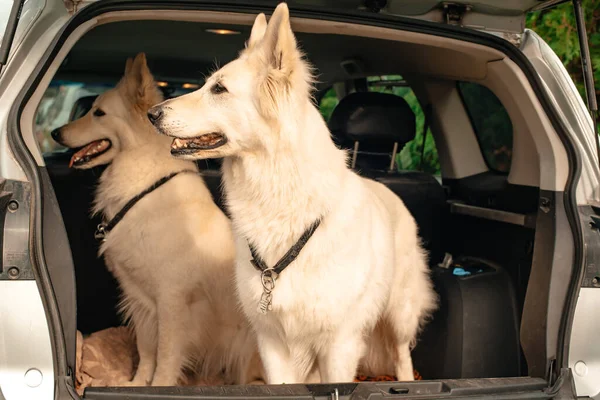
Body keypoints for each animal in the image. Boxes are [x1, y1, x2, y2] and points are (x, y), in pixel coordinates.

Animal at [53, 54, 262, 388]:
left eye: (98, 113)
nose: (55, 133)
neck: (143, 186)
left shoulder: (172, 302)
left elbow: (165, 355)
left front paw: (160, 385)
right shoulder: (139, 299)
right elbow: (146, 350)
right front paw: (138, 384)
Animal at [146, 3, 436, 384]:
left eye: (219, 89)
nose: (151, 114)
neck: (281, 201)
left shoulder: (340, 345)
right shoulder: (272, 342)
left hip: (400, 313)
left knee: (403, 355)